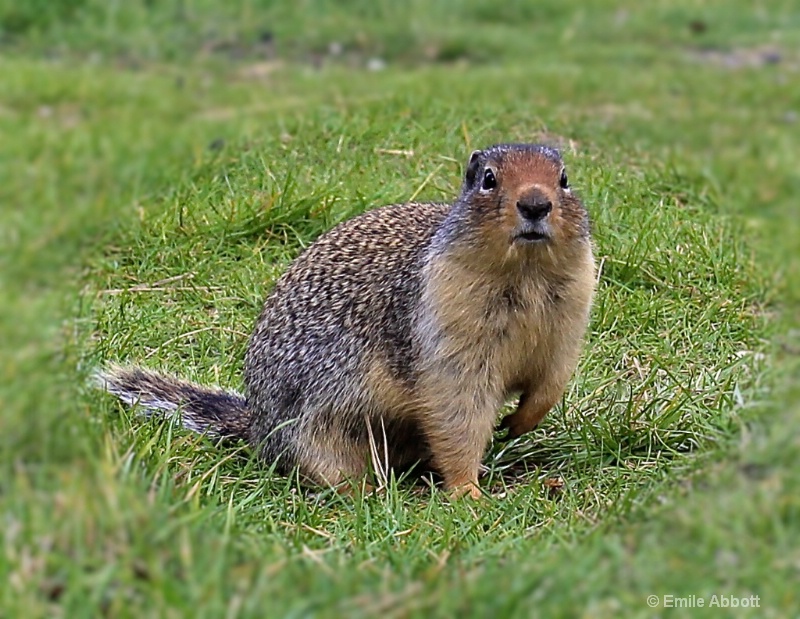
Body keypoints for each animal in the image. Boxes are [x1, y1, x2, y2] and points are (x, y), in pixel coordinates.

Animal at [100, 144, 592, 498]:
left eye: (564, 179)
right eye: (489, 179)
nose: (535, 203)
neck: (525, 277)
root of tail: (255, 425)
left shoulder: (570, 319)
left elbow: (552, 379)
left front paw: (519, 422)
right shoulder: (447, 336)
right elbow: (458, 413)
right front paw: (468, 492)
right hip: (317, 431)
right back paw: (365, 490)